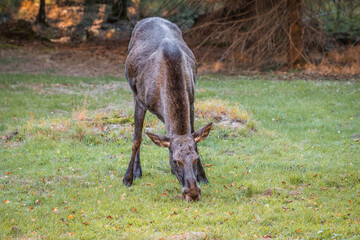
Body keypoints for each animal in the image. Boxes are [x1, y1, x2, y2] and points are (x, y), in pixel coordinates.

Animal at [124, 16, 214, 202]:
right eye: (175, 161)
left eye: (196, 159)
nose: (193, 194)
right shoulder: (141, 101)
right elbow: (136, 139)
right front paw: (128, 178)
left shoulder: (191, 101)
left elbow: (192, 137)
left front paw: (203, 176)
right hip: (133, 91)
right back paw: (137, 172)